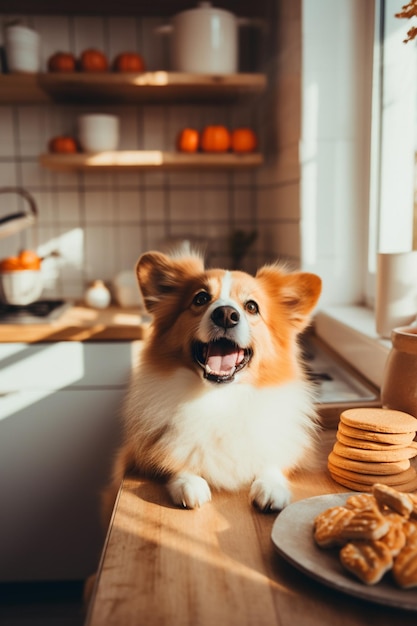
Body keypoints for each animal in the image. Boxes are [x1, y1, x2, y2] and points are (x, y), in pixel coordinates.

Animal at [104, 246, 322, 516]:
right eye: (200, 299)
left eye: (252, 306)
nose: (226, 315)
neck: (219, 396)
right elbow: (170, 461)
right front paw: (189, 482)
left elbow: (274, 460)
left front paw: (272, 486)